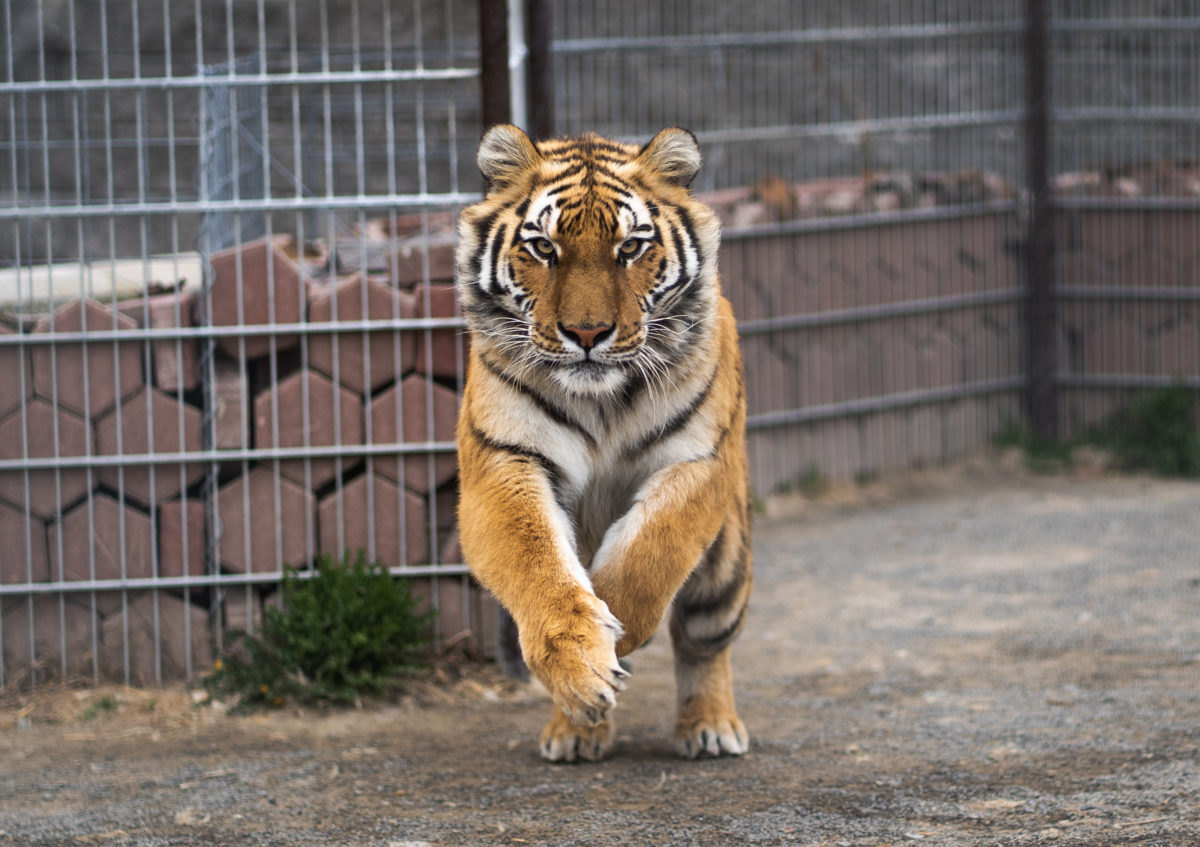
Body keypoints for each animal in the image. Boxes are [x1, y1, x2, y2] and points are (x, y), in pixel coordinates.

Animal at [451, 123, 748, 758]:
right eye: (543, 249)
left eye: (630, 248)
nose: (587, 333)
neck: (603, 401)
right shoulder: (506, 461)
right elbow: (539, 568)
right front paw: (582, 666)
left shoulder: (697, 462)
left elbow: (649, 557)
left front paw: (616, 635)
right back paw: (576, 730)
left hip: (725, 564)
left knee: (705, 641)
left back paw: (710, 724)